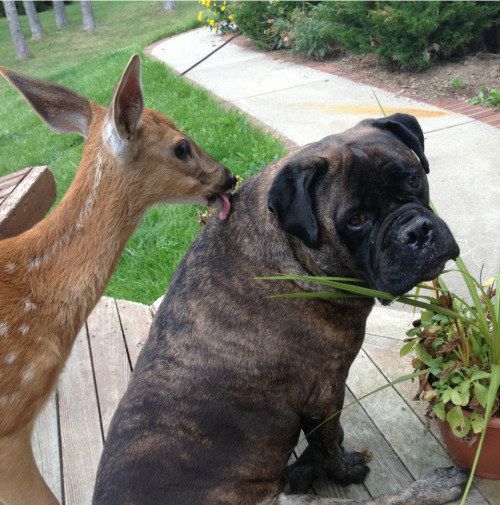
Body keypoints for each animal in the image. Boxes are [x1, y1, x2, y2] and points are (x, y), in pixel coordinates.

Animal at [93, 114, 464, 504]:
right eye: (357, 219)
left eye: (414, 179)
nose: (417, 232)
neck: (293, 251)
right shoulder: (326, 391)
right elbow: (328, 446)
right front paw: (344, 469)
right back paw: (435, 484)